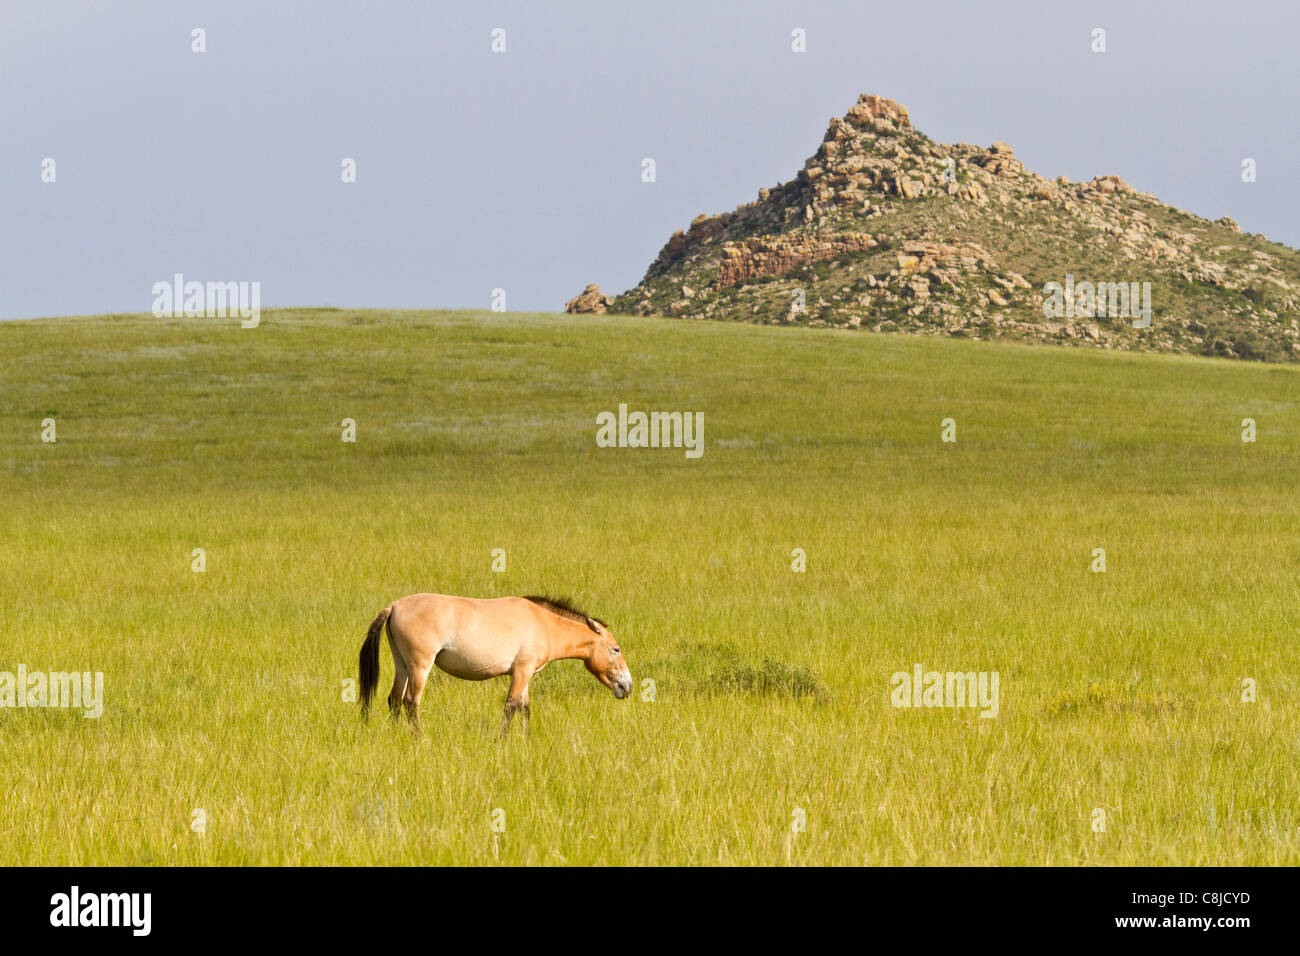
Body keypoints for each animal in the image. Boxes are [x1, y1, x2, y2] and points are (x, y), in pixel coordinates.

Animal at [357, 593, 631, 735]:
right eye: (615, 649)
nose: (627, 686)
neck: (543, 623)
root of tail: (395, 606)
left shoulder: (526, 674)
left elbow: (525, 708)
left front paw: (526, 740)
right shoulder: (521, 672)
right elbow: (510, 706)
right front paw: (502, 740)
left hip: (402, 665)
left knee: (394, 700)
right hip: (419, 667)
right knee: (410, 702)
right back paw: (419, 739)